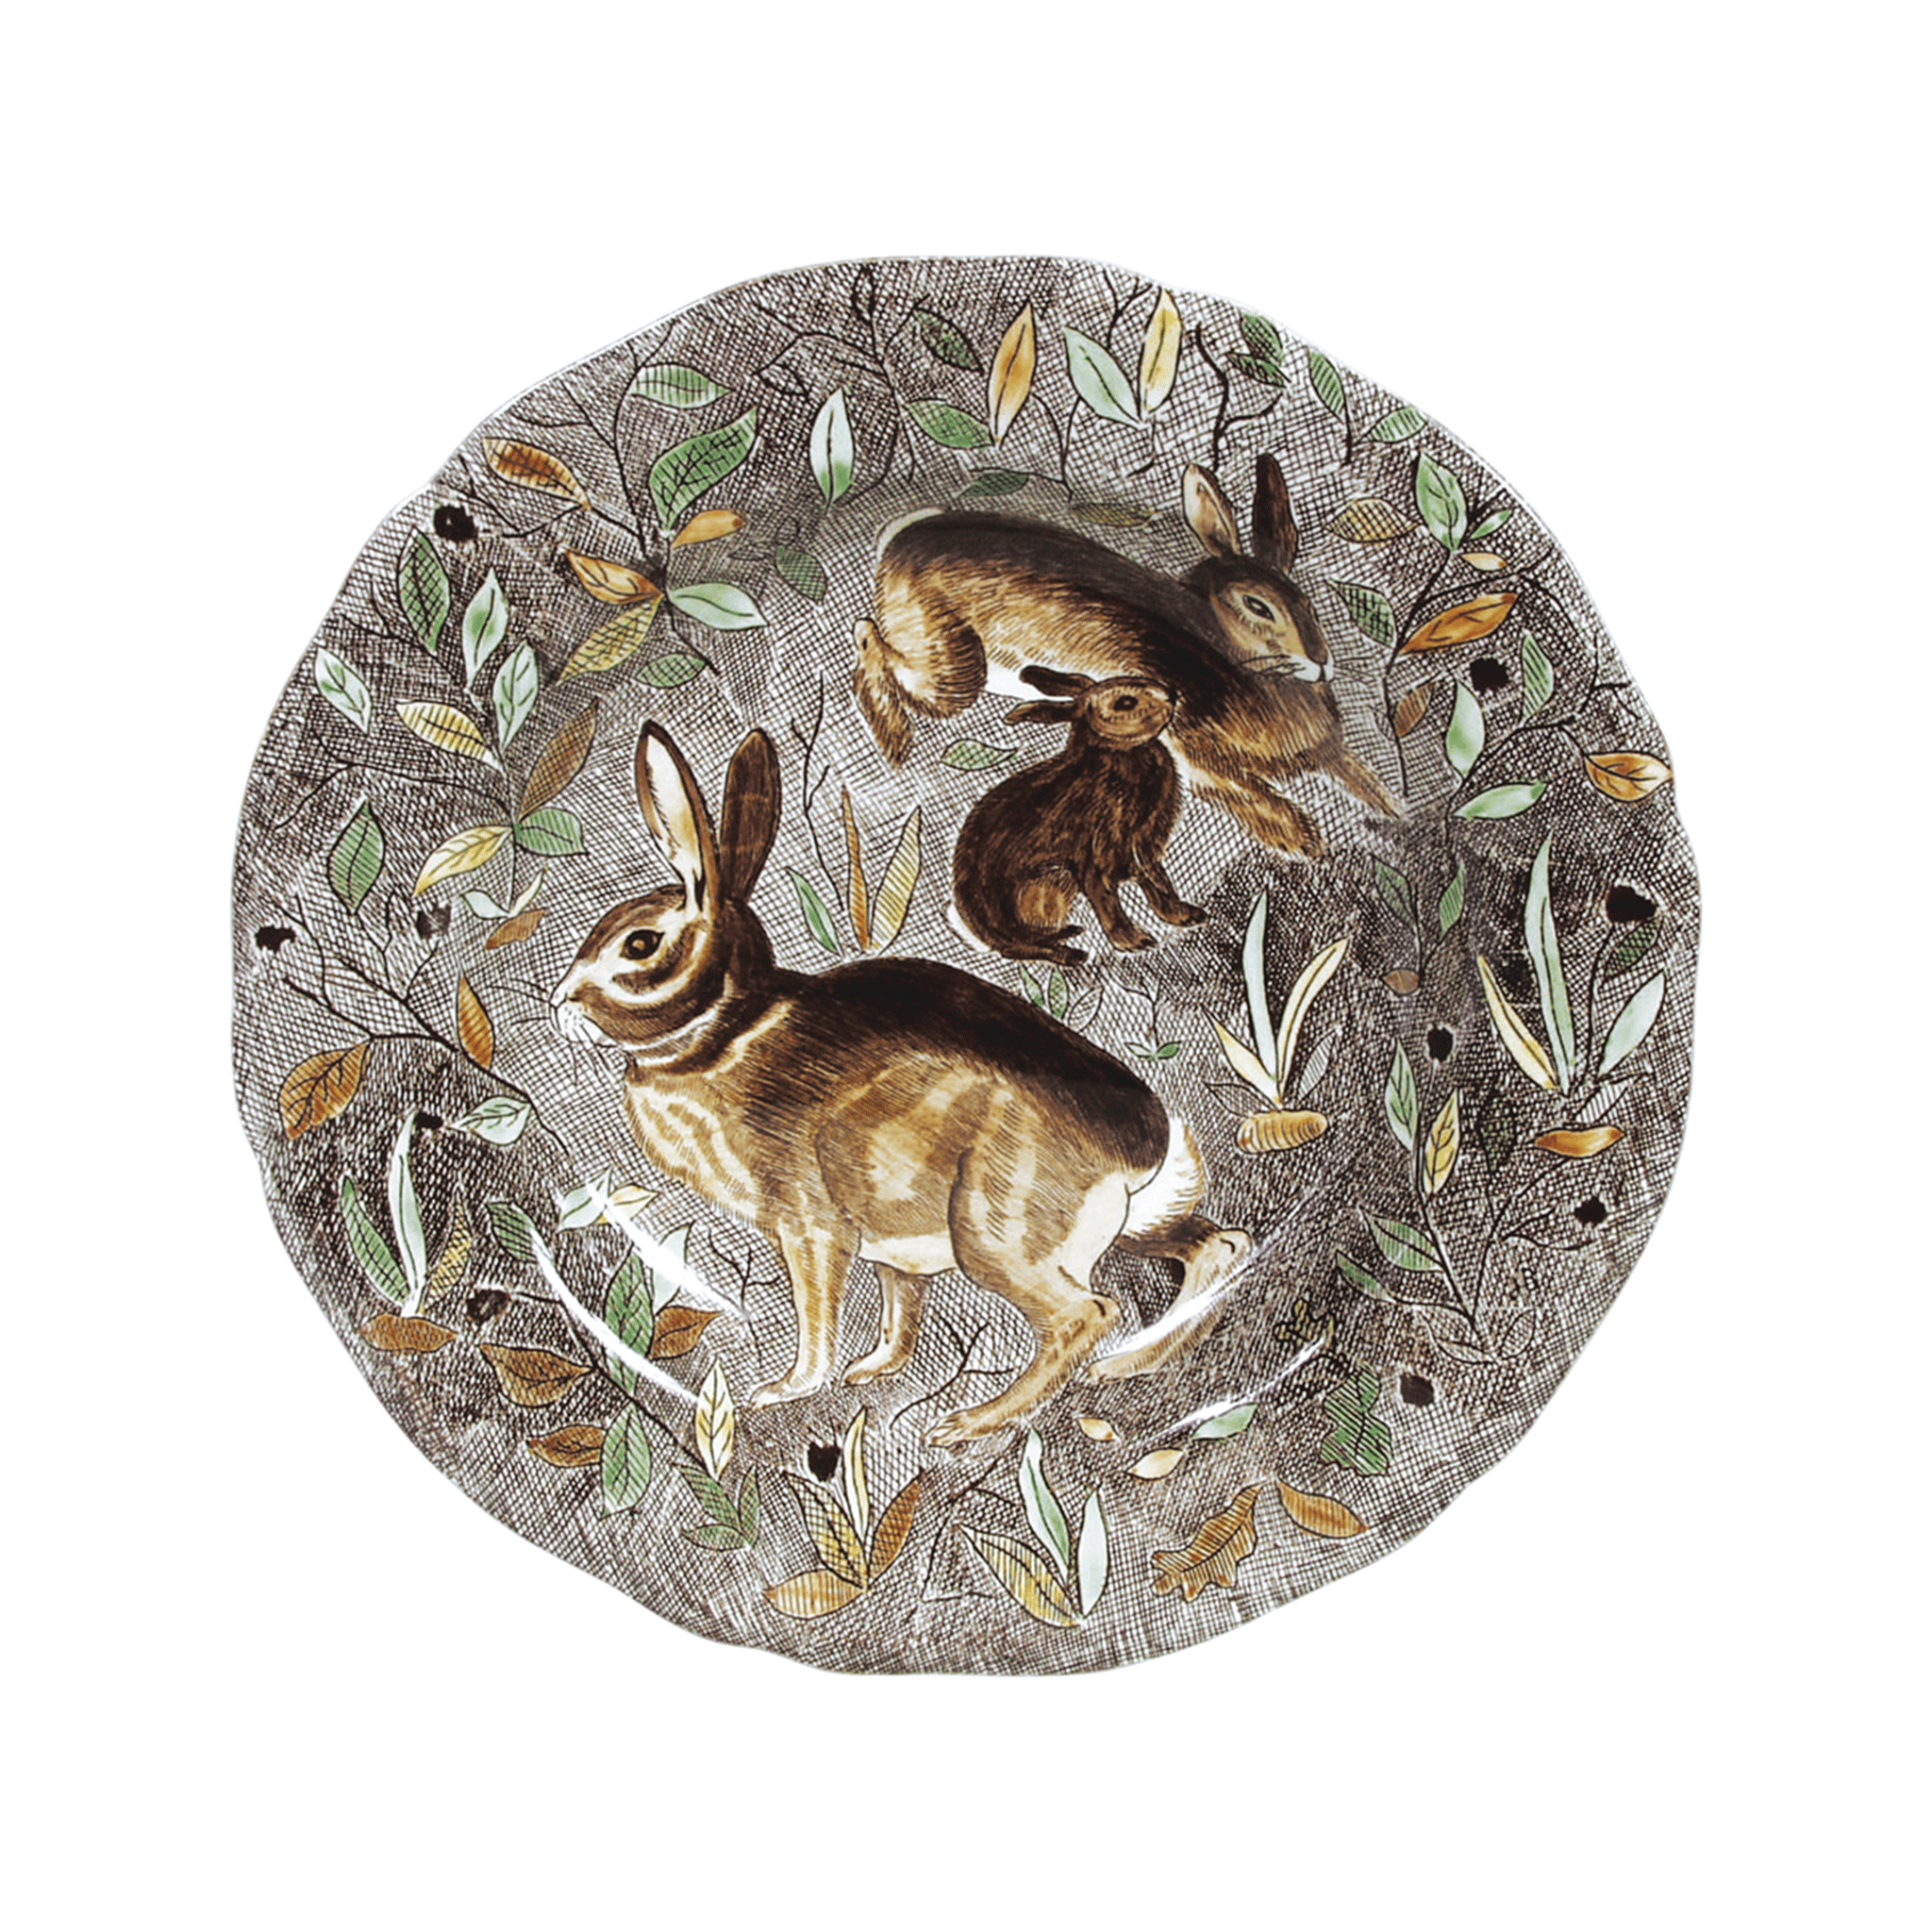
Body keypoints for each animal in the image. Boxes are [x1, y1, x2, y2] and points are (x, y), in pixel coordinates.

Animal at [550, 722, 1253, 1443]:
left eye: (638, 945)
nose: (560, 1003)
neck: (726, 1030)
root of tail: (1140, 1153)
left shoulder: (809, 1224)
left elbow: (817, 1314)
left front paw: (787, 1390)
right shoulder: (887, 1241)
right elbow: (899, 1306)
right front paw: (874, 1368)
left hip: (994, 1229)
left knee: (1086, 1315)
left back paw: (969, 1423)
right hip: (1126, 1225)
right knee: (1218, 1247)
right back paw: (1130, 1365)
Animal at [854, 454, 1401, 860]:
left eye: (1308, 604)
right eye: (1258, 606)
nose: (1322, 661)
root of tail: (897, 540)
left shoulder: (1332, 755)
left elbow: (1372, 787)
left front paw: (1395, 814)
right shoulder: (1197, 752)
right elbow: (1245, 792)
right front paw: (1301, 840)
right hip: (954, 666)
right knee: (871, 644)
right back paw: (893, 738)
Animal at [950, 665, 1206, 967]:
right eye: (1126, 703)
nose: (1172, 695)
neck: (1119, 752)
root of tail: (982, 928)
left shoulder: (1143, 850)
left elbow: (1159, 884)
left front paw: (1185, 915)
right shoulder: (1097, 853)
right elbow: (1107, 899)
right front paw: (1134, 941)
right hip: (1053, 880)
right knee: (1022, 948)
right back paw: (1074, 954)